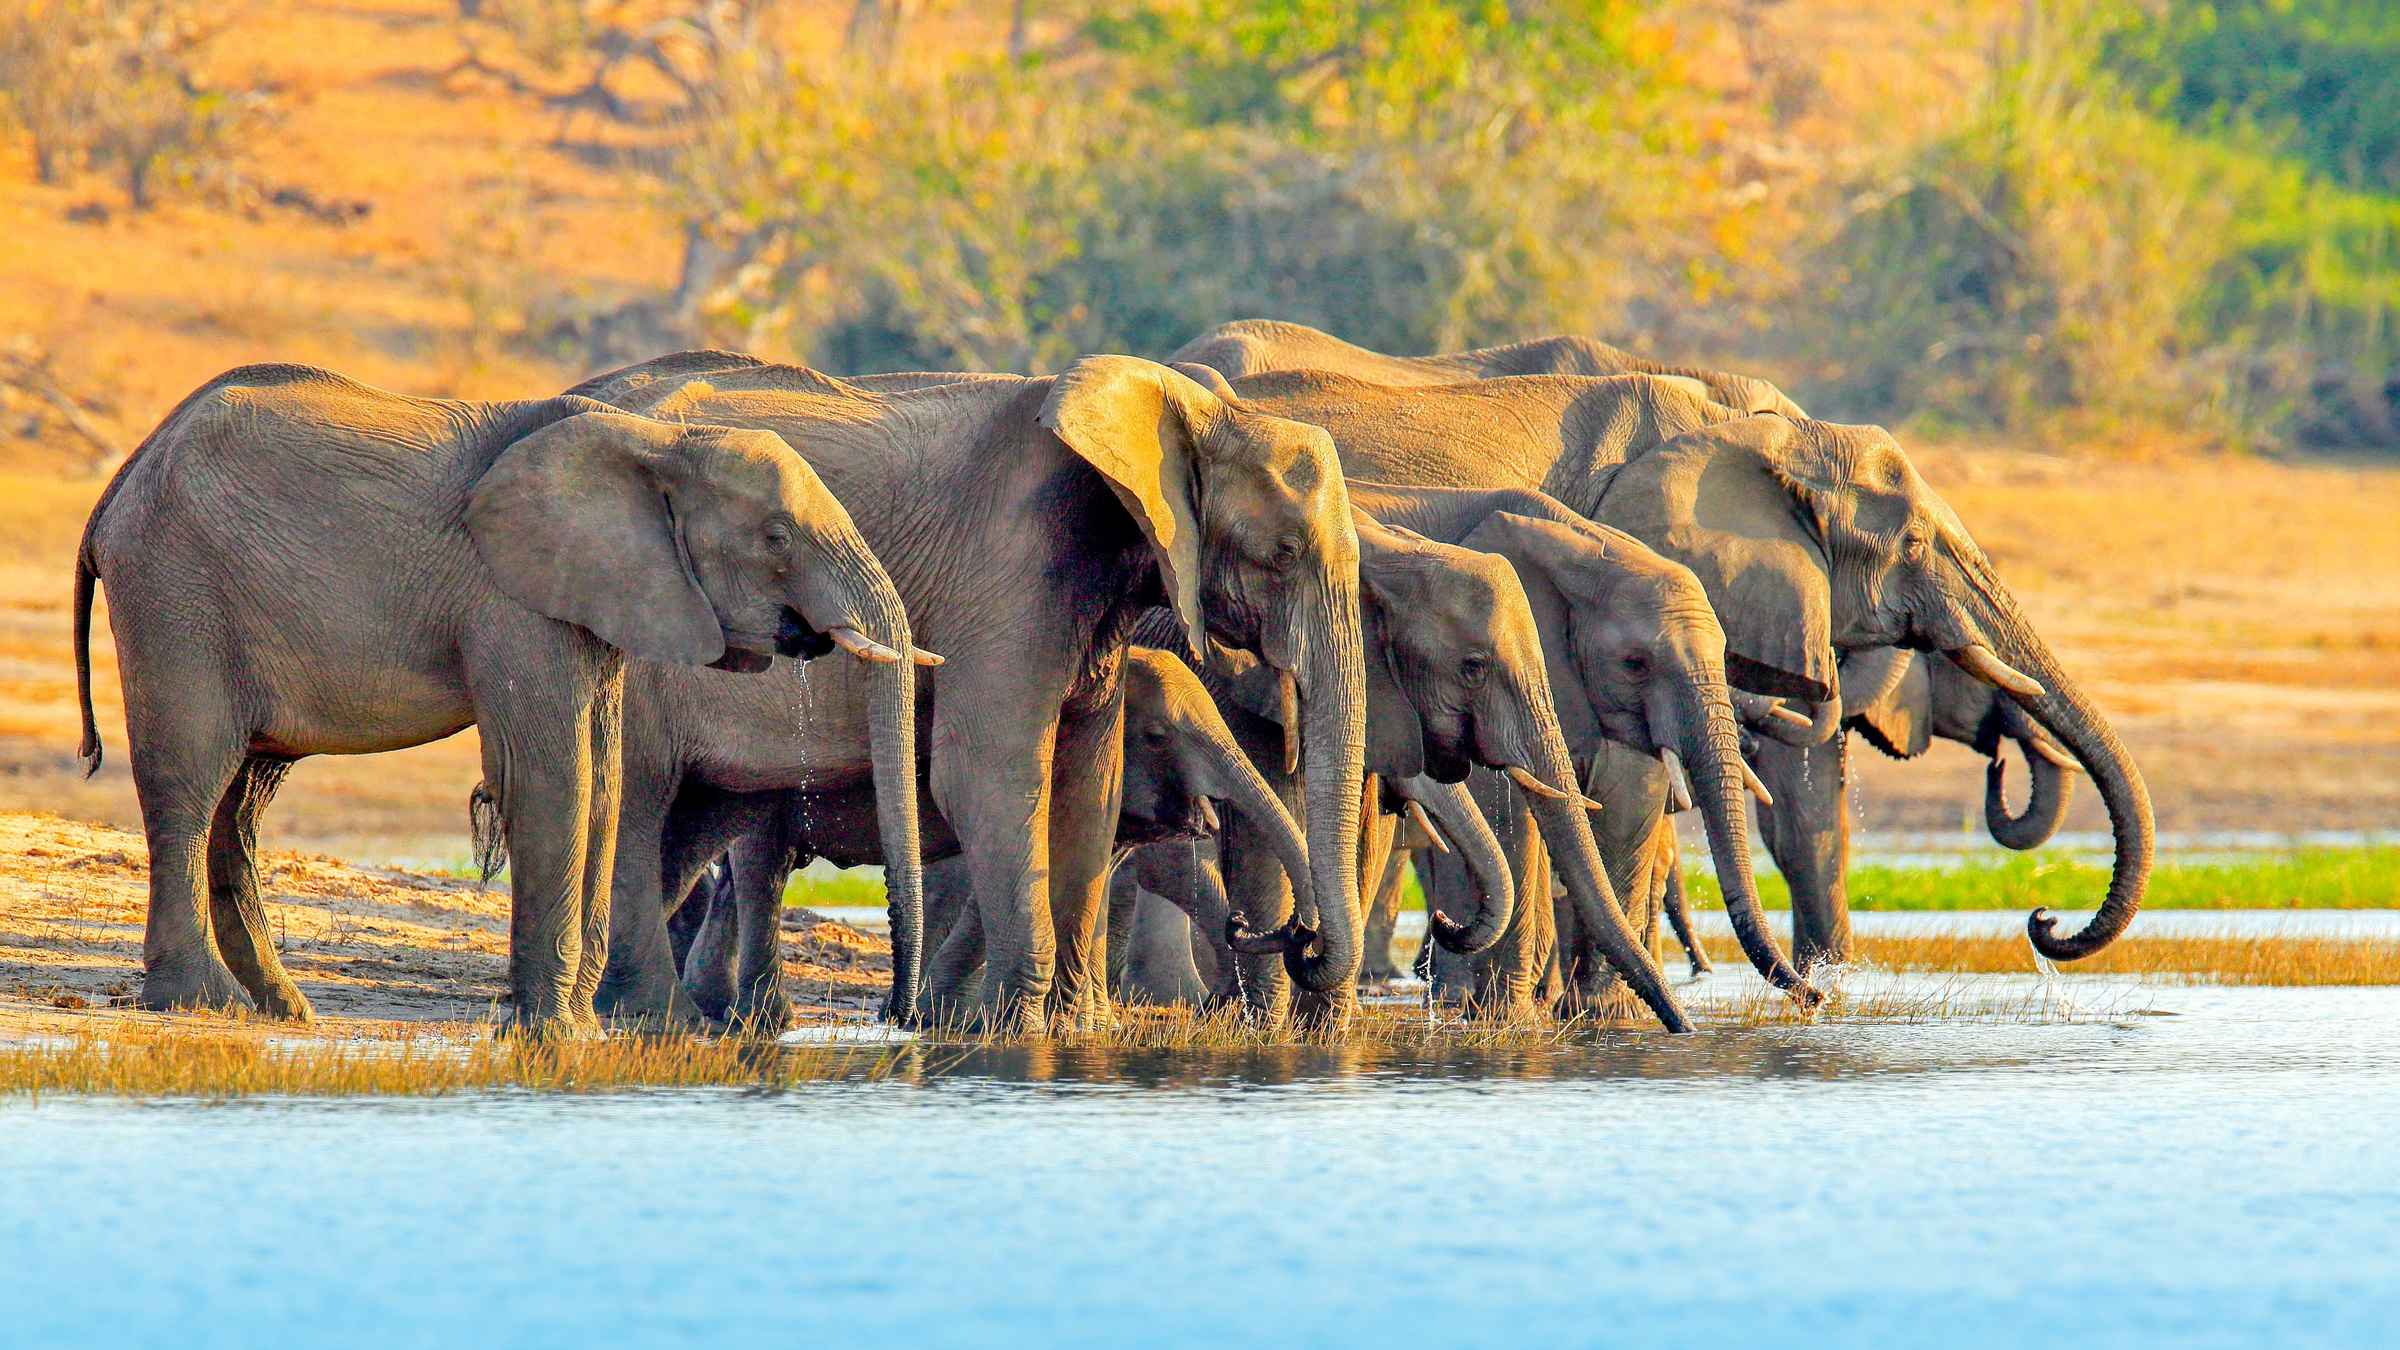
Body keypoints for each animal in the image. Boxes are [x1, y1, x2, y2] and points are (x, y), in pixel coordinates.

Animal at [72, 360, 916, 1028]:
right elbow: (551, 778)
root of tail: (120, 481)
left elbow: (602, 781)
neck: (658, 445)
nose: (901, 1018)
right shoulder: (513, 599)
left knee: (241, 799)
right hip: (174, 593)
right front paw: (551, 1033)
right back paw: (201, 1003)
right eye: (776, 536)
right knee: (191, 777)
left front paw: (578, 1029)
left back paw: (283, 1010)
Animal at [549, 348, 1372, 1028]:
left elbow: (1088, 783)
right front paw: (1012, 1028)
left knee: (686, 830)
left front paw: (1072, 1030)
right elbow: (991, 775)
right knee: (642, 803)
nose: (1289, 935)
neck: (1190, 411)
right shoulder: (1009, 577)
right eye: (1286, 551)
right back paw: (655, 1018)